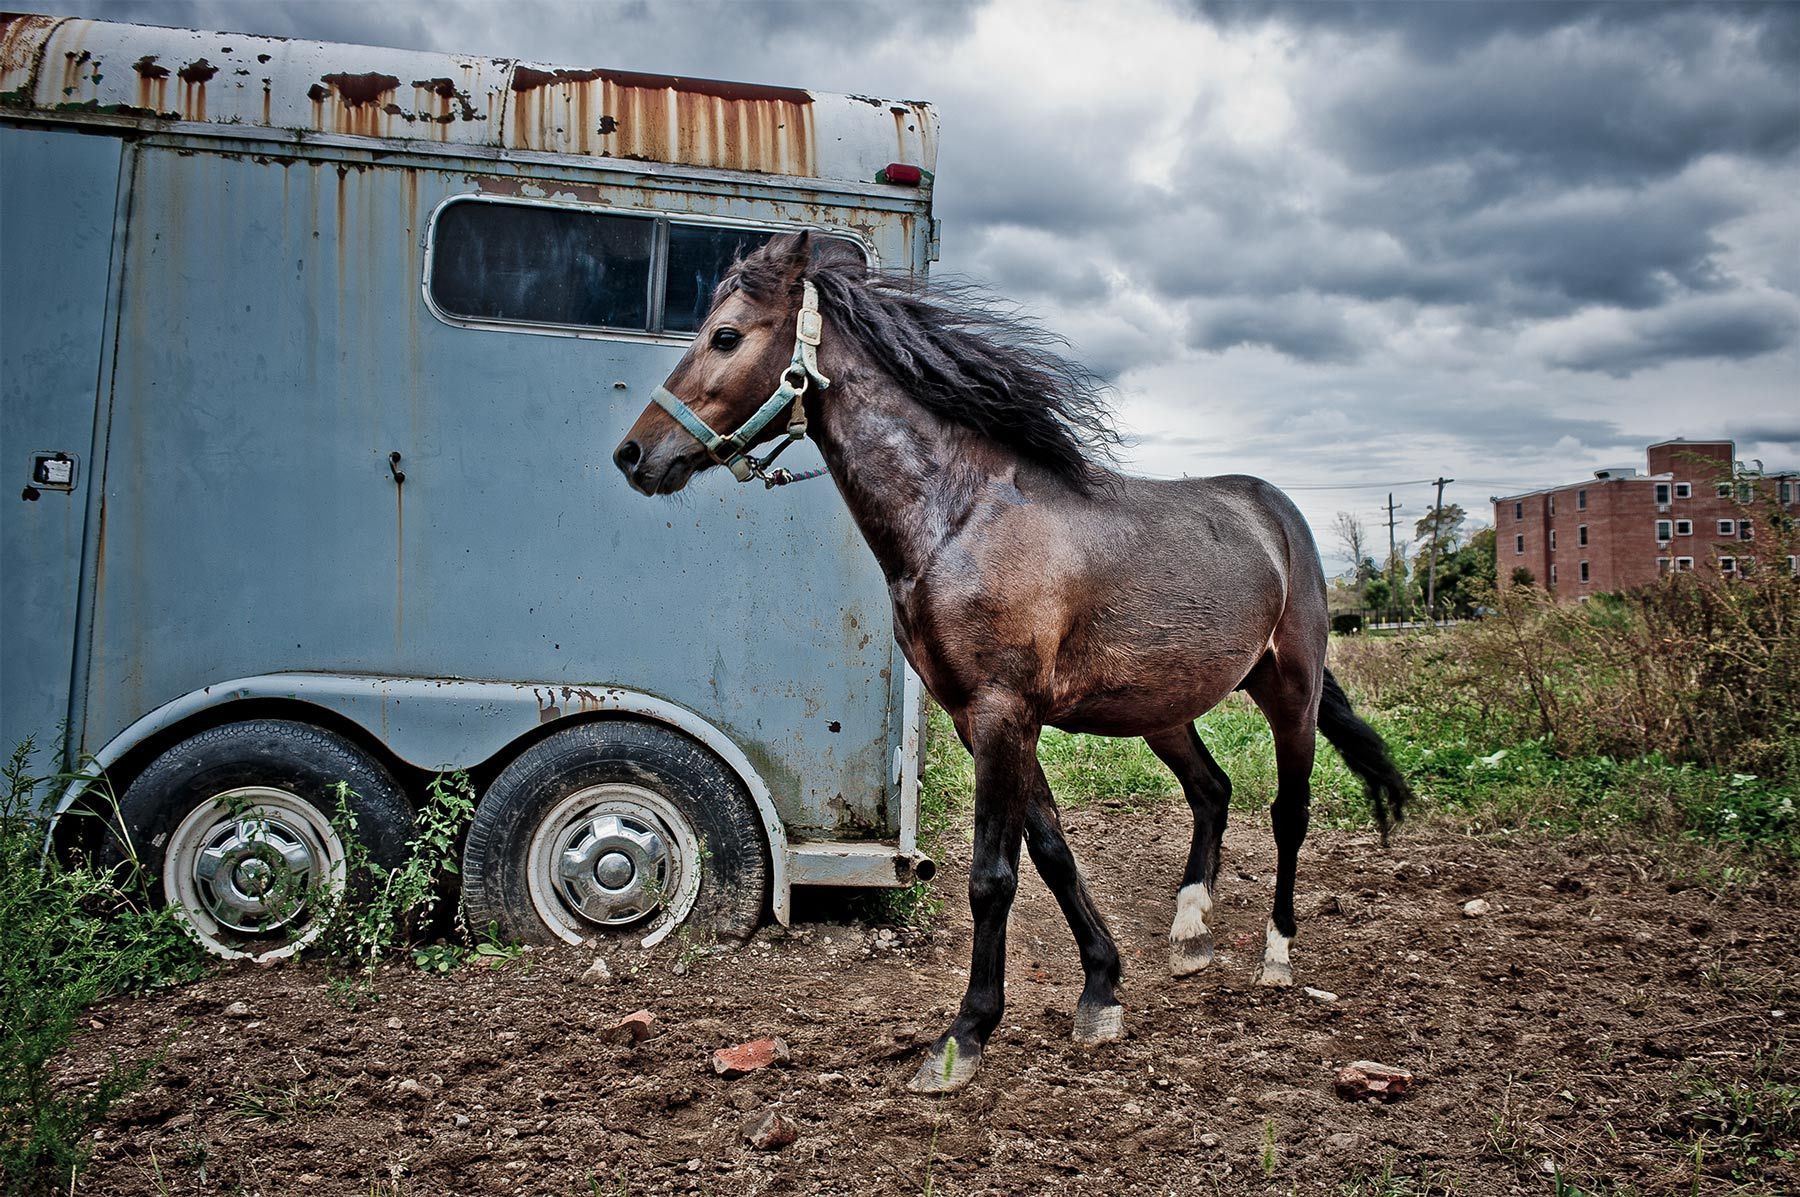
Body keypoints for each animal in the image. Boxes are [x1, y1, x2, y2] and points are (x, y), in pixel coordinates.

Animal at [614, 232, 1413, 1093]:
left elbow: (993, 875)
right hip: (1164, 709)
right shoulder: (982, 720)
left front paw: (965, 1035)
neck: (960, 517)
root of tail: (1277, 513)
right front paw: (1102, 991)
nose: (635, 453)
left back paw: (1275, 955)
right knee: (1212, 790)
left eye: (726, 335)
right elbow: (1054, 852)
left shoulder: (1004, 712)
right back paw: (1190, 930)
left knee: (1288, 812)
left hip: (1290, 690)